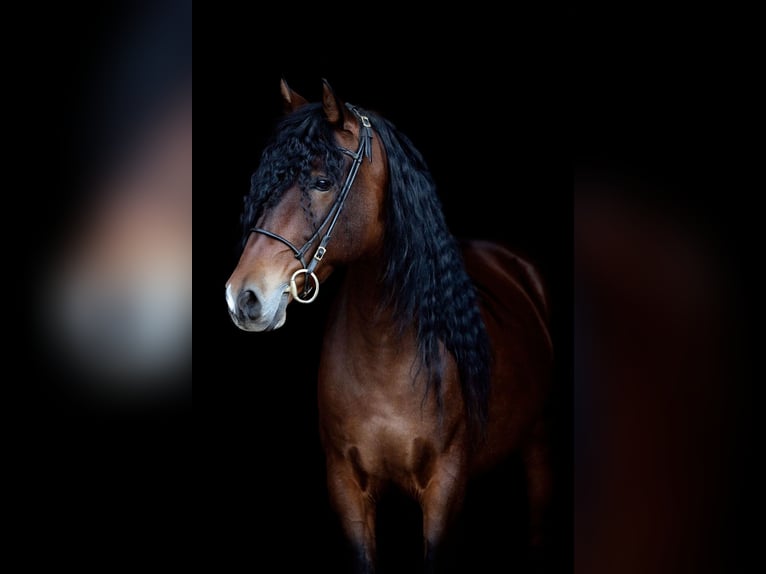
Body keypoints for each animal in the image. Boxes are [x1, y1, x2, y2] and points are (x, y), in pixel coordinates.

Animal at [225, 79, 553, 573]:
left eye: (322, 182)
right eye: (267, 182)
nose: (243, 296)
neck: (385, 354)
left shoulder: (444, 489)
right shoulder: (346, 487)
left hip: (536, 447)